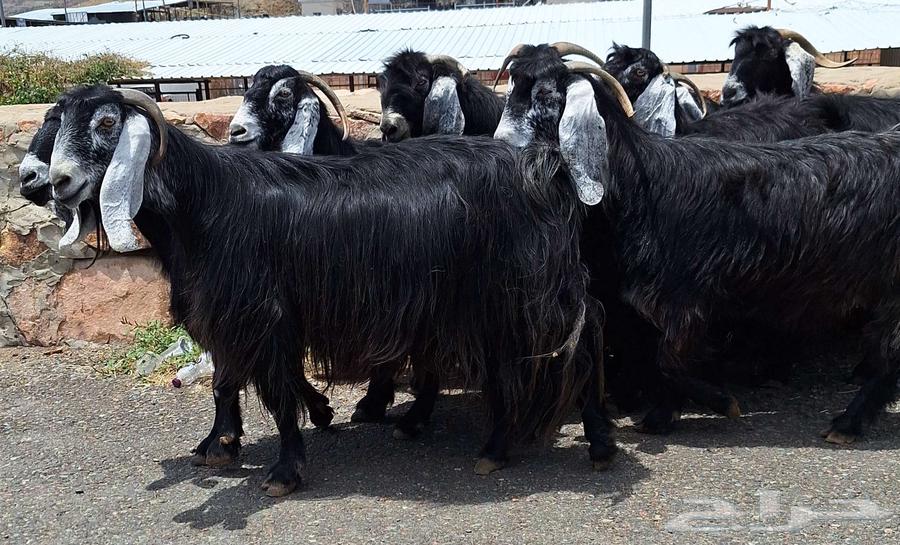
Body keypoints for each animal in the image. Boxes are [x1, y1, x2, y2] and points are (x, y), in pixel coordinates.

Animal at [48, 84, 615, 495]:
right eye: (57, 125)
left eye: (105, 124)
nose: (56, 181)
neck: (206, 204)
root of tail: (545, 167)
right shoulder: (230, 313)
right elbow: (230, 381)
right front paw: (229, 441)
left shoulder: (260, 312)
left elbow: (276, 393)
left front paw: (284, 471)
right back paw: (478, 442)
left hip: (530, 288)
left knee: (584, 340)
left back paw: (595, 445)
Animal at [494, 43, 900, 446]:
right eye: (511, 90)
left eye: (546, 95)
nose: (499, 146)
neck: (640, 186)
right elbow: (657, 359)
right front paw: (663, 413)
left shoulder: (685, 298)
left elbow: (668, 361)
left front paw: (710, 404)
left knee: (888, 353)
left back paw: (847, 422)